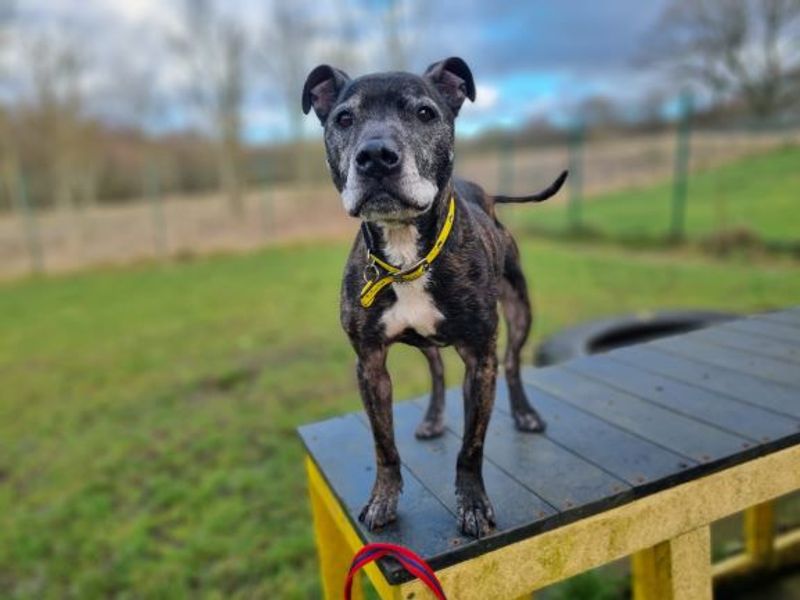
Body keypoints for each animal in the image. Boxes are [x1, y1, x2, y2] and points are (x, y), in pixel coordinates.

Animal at [302, 57, 568, 540]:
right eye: (344, 119)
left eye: (425, 113)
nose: (376, 156)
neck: (406, 252)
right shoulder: (369, 364)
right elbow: (383, 444)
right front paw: (383, 498)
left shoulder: (480, 359)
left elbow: (471, 447)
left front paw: (473, 504)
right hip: (429, 343)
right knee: (438, 371)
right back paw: (432, 418)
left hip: (519, 309)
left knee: (514, 362)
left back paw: (524, 413)